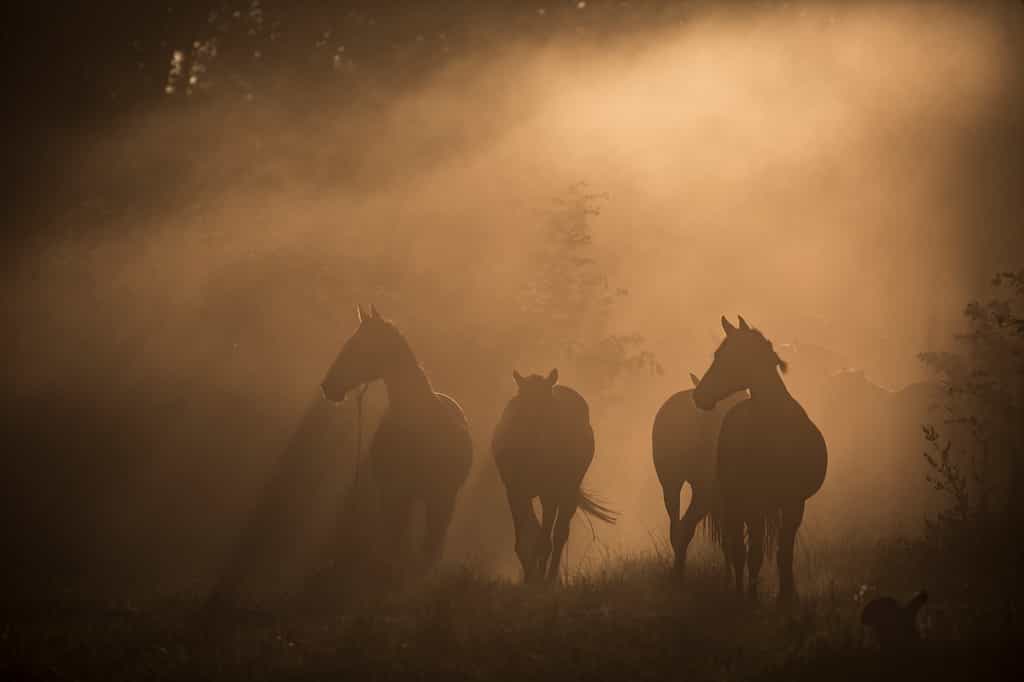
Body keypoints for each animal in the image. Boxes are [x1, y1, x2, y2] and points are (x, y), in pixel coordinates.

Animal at [320, 304, 472, 578]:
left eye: (358, 346)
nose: (328, 386)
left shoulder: (439, 497)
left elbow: (426, 548)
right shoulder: (393, 493)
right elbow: (394, 541)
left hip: (440, 499)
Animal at [492, 369, 618, 584]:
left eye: (549, 406)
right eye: (521, 405)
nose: (537, 439)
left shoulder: (549, 494)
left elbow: (544, 539)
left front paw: (539, 580)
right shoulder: (515, 491)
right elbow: (525, 538)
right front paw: (529, 578)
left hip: (568, 491)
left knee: (559, 534)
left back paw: (550, 578)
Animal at [693, 315, 827, 604]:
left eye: (725, 356)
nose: (699, 396)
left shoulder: (794, 504)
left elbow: (784, 552)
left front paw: (787, 597)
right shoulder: (753, 503)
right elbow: (752, 553)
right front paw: (752, 598)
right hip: (737, 503)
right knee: (738, 550)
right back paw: (740, 592)